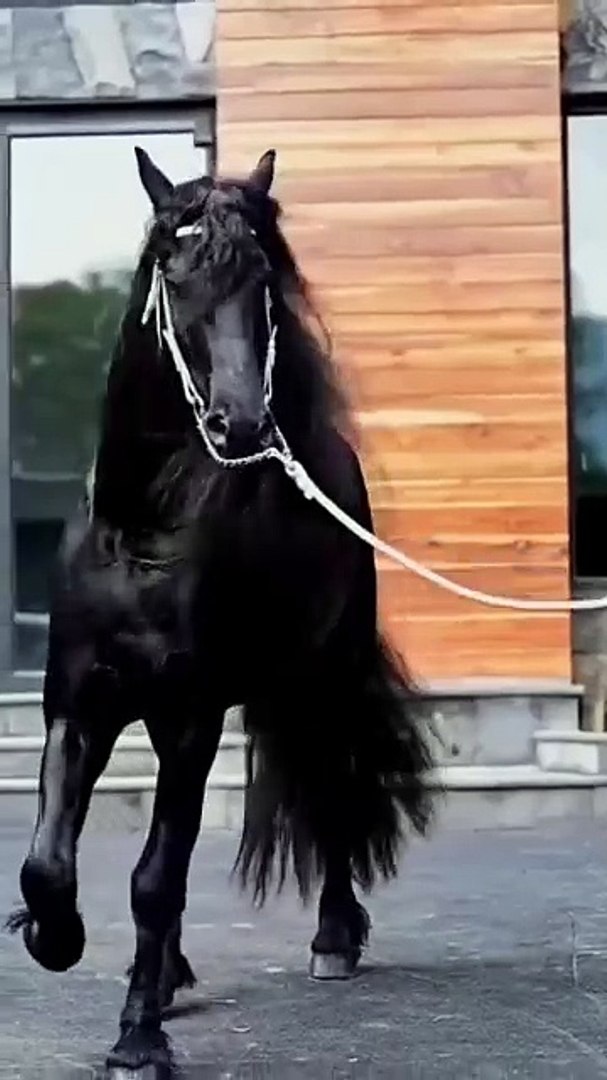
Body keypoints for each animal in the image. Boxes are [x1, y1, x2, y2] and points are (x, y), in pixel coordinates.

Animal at [9, 147, 435, 1074]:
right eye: (175, 271)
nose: (241, 423)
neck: (138, 532)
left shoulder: (189, 716)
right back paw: (170, 973)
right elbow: (49, 862)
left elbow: (156, 877)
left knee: (334, 786)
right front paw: (54, 938)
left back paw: (332, 940)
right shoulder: (77, 705)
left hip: (321, 683)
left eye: (262, 281)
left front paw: (137, 1041)